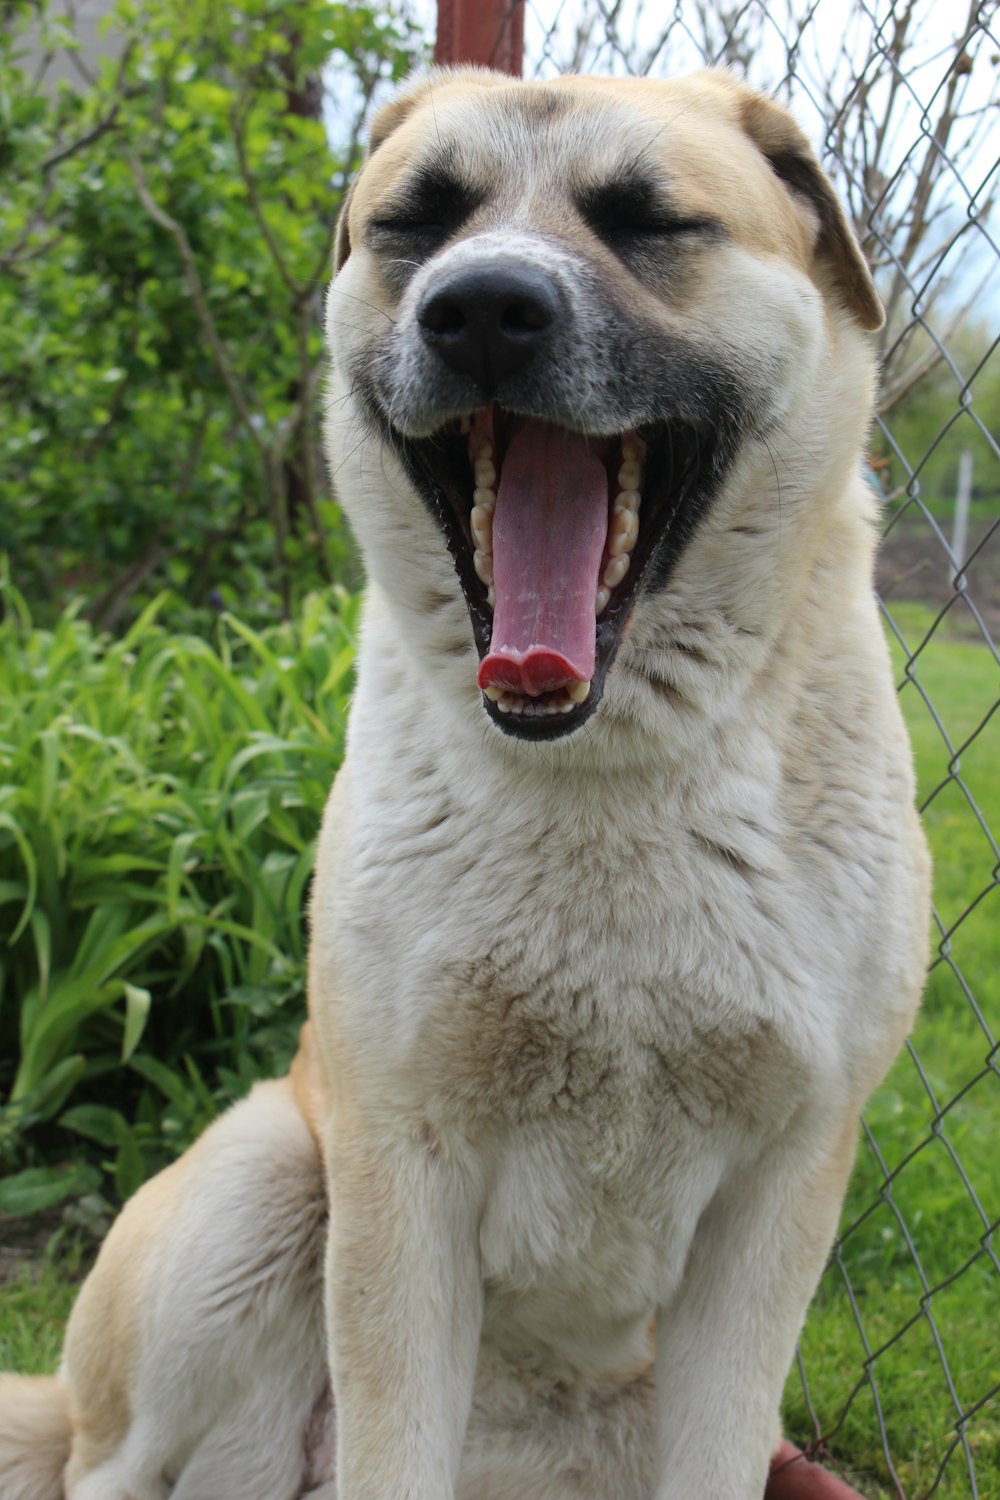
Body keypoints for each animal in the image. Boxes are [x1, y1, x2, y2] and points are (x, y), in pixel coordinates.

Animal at [0, 67, 929, 1500]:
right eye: (418, 221)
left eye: (648, 219)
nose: (481, 308)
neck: (608, 771)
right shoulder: (402, 1174)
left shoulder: (775, 1204)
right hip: (257, 1189)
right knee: (109, 1469)